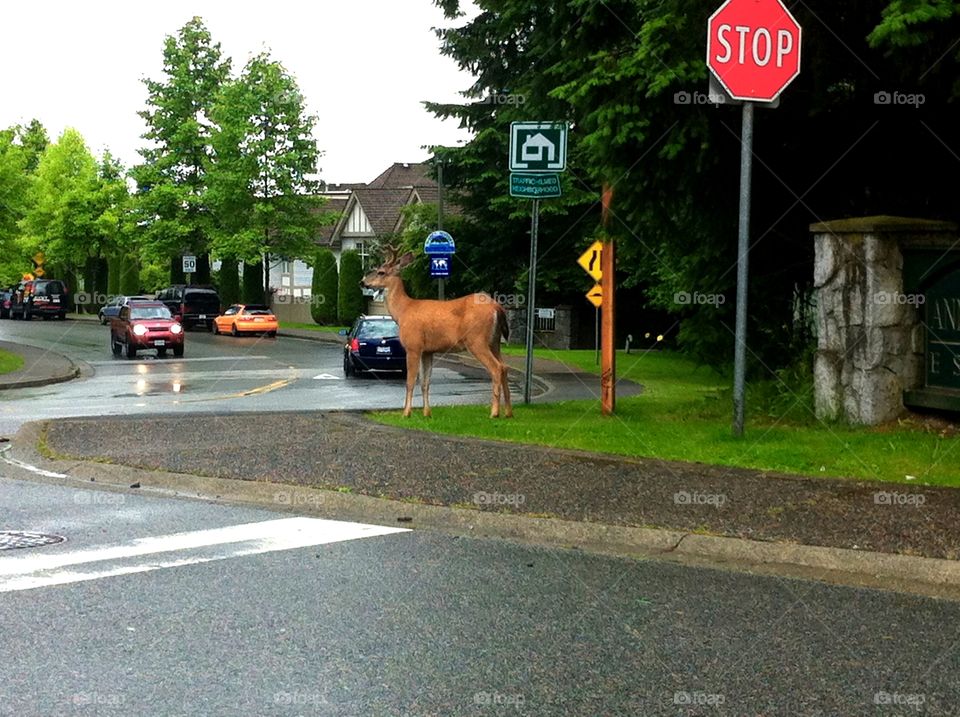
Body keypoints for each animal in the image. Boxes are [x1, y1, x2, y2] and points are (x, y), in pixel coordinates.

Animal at [360, 246, 512, 416]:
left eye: (381, 272)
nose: (363, 282)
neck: (403, 311)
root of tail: (497, 308)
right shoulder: (428, 351)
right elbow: (425, 382)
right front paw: (427, 413)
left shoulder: (413, 346)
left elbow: (410, 381)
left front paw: (406, 413)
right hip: (494, 341)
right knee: (504, 367)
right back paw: (508, 413)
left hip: (477, 340)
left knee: (496, 368)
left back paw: (494, 413)